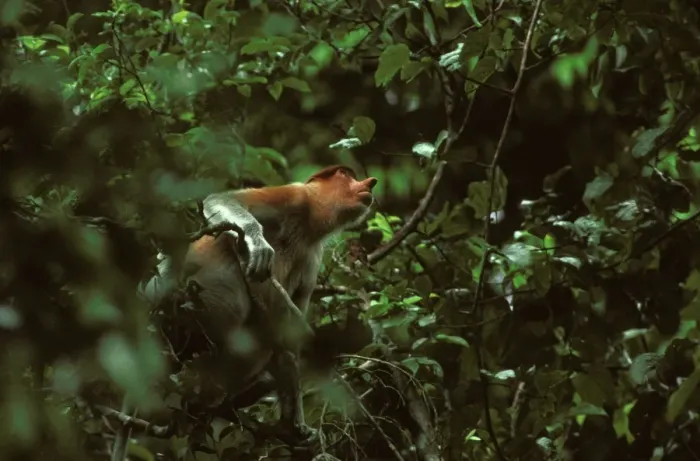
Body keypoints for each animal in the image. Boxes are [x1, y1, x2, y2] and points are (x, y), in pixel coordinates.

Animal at [141, 165, 378, 439]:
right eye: (345, 175)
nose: (370, 183)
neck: (309, 224)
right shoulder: (294, 196)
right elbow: (222, 200)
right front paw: (258, 244)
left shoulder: (313, 255)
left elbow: (289, 335)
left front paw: (296, 423)